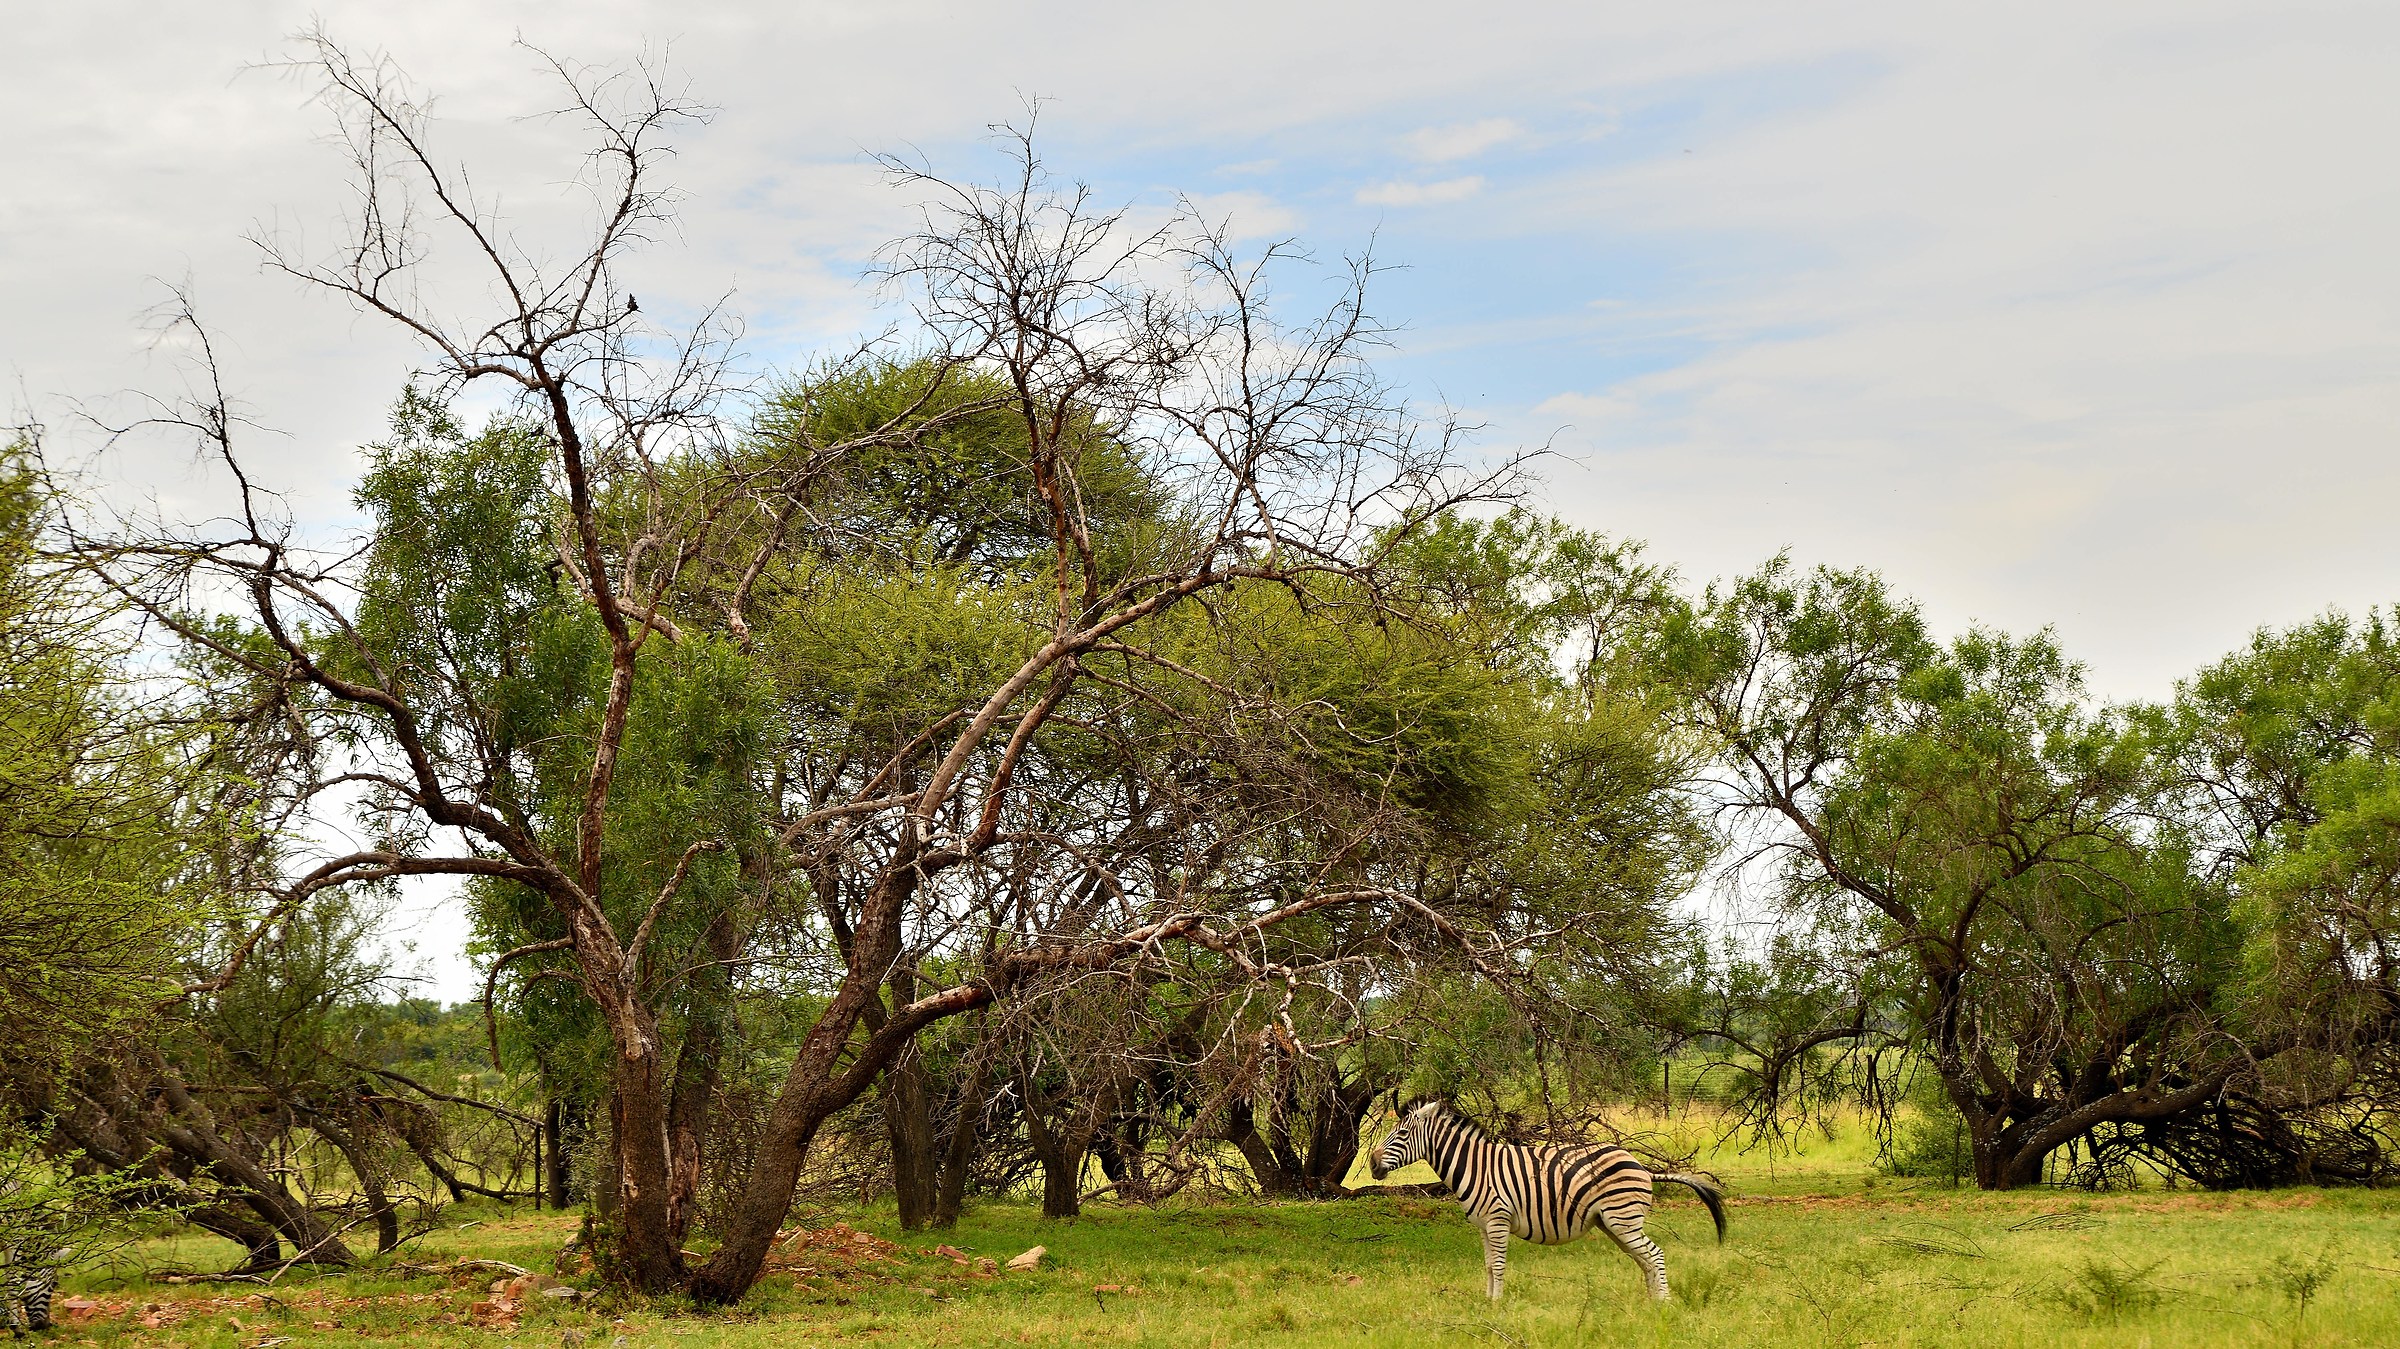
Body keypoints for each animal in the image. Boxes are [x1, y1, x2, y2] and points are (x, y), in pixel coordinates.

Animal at [1369, 1098, 1725, 1301]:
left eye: (1401, 1134)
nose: (1372, 1164)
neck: (1475, 1165)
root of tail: (1643, 1166)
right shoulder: (1483, 1225)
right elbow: (1488, 1265)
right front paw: (1487, 1302)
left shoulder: (1497, 1219)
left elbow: (1498, 1265)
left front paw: (1498, 1305)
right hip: (1614, 1223)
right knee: (1644, 1258)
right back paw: (1650, 1302)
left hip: (1622, 1219)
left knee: (1655, 1254)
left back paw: (1662, 1303)